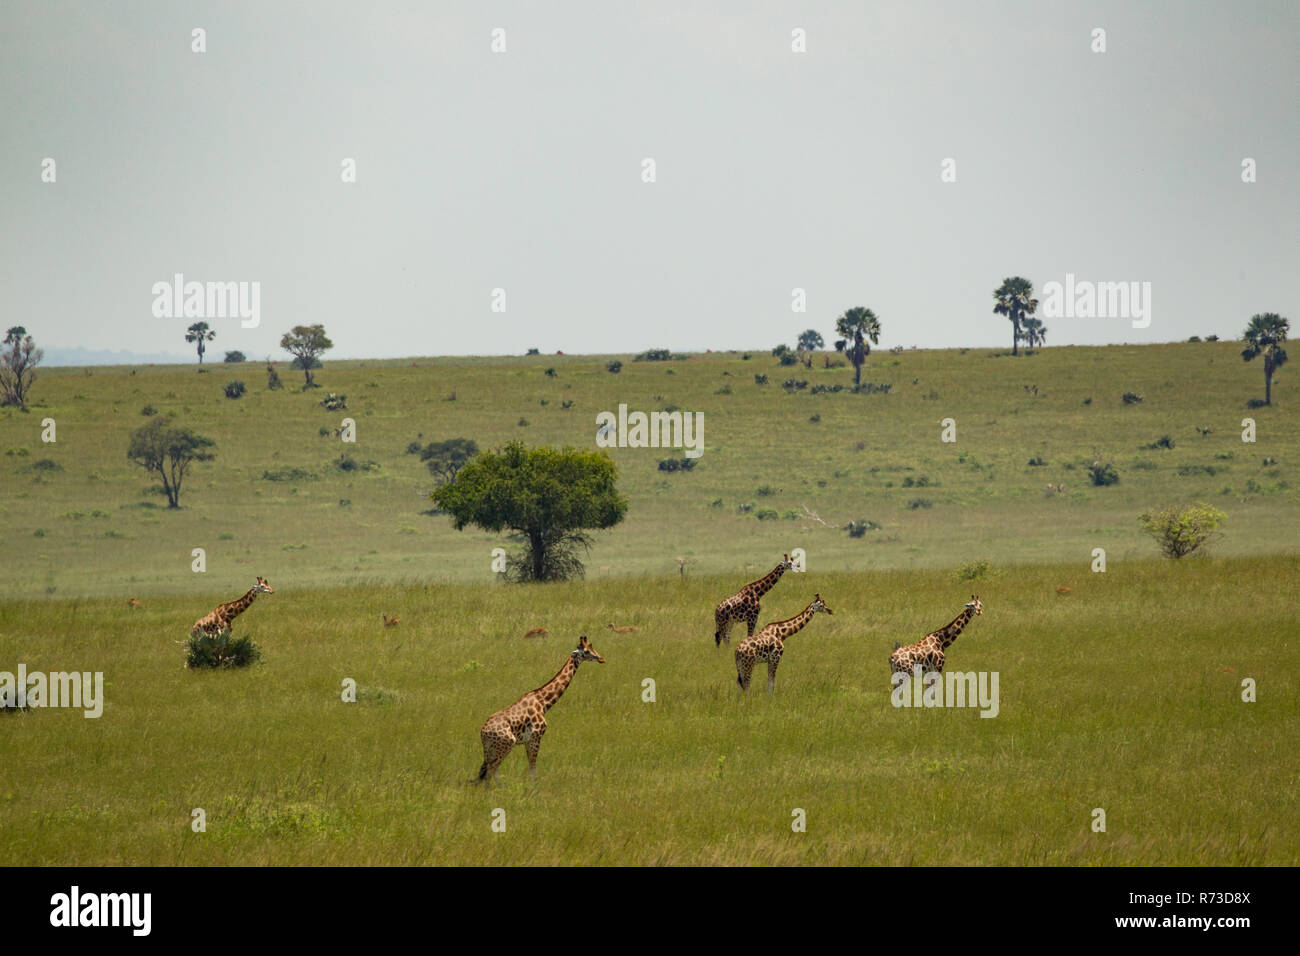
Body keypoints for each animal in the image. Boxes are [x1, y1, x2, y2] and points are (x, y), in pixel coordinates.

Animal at [476, 635, 605, 783]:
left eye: (592, 647)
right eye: (586, 651)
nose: (601, 659)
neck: (543, 702)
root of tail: (483, 732)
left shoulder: (528, 741)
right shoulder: (535, 737)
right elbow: (533, 770)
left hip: (491, 748)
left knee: (485, 771)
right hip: (507, 744)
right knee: (492, 770)